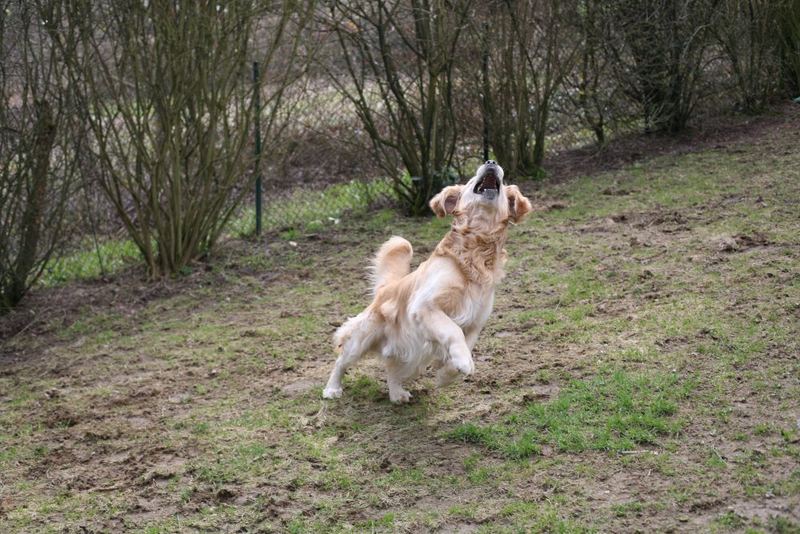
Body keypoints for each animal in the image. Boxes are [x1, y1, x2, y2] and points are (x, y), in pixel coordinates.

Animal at [318, 161, 532, 404]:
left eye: (503, 183)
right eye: (470, 181)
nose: (491, 163)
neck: (477, 250)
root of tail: (385, 290)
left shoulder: (475, 323)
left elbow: (465, 346)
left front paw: (448, 374)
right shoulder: (424, 306)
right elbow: (453, 331)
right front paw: (462, 362)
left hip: (414, 357)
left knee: (392, 369)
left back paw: (397, 393)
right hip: (362, 338)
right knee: (341, 359)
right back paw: (332, 388)